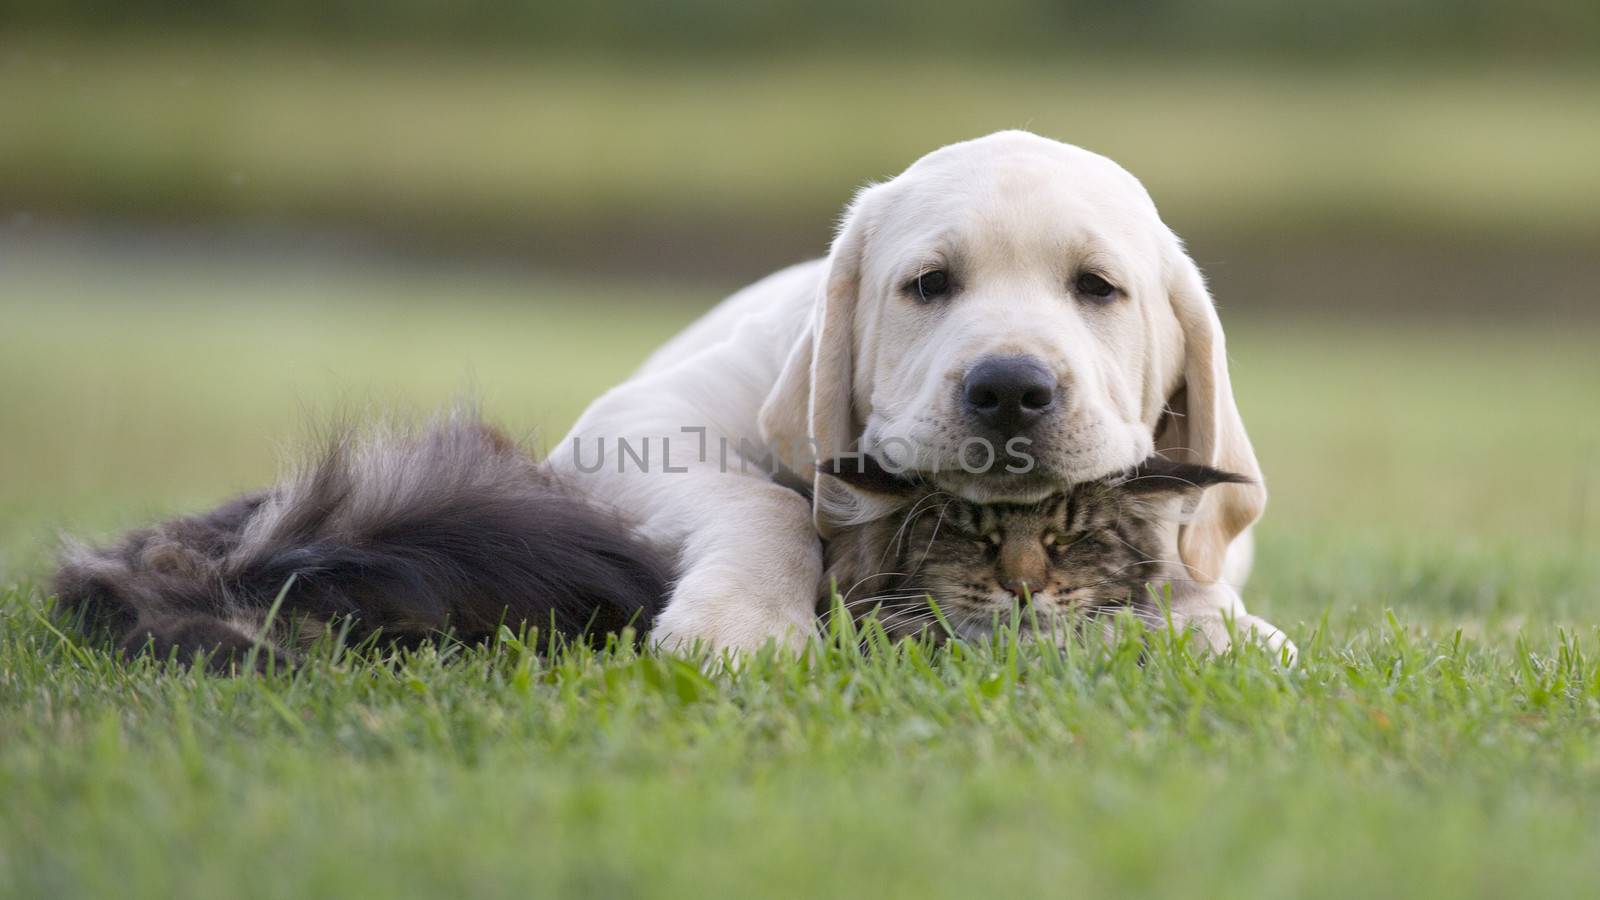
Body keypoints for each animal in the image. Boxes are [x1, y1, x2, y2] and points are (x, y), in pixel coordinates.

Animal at [550, 128, 1286, 650]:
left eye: (1097, 286)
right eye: (929, 283)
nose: (1010, 388)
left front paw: (1214, 620)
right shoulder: (634, 420)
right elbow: (767, 500)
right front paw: (744, 621)